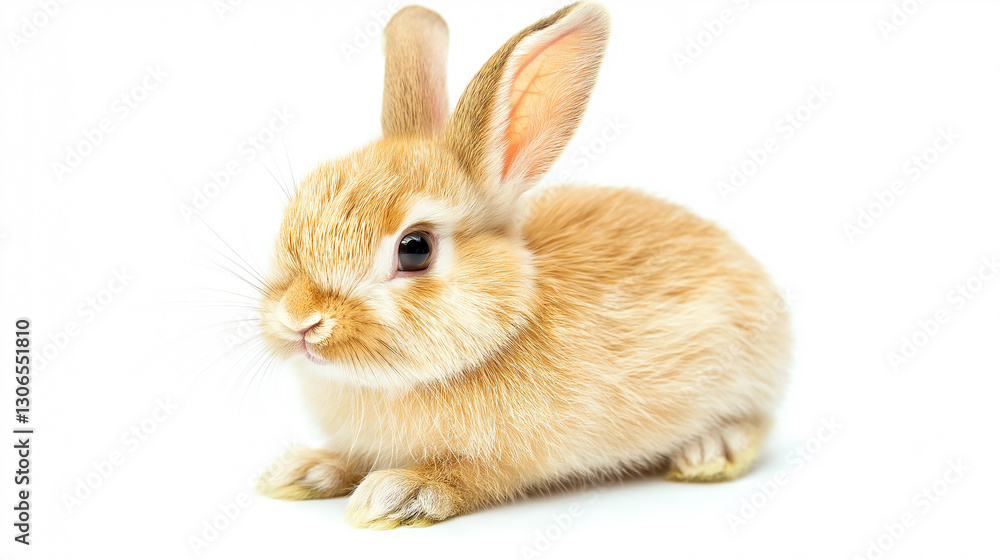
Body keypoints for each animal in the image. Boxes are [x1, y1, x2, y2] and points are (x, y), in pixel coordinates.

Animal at [254, 2, 791, 529]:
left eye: (415, 249)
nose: (299, 319)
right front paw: (304, 471)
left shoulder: (508, 459)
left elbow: (469, 476)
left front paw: (399, 493)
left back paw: (710, 453)